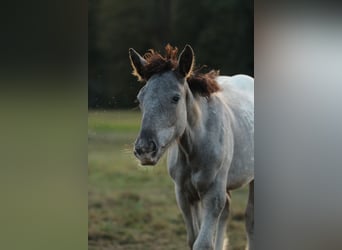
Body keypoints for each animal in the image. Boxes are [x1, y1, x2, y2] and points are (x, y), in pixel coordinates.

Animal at [129, 44, 254, 249]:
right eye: (140, 99)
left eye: (175, 98)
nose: (145, 150)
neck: (195, 146)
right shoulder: (184, 195)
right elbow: (193, 238)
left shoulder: (213, 195)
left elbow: (203, 243)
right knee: (226, 213)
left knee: (249, 219)